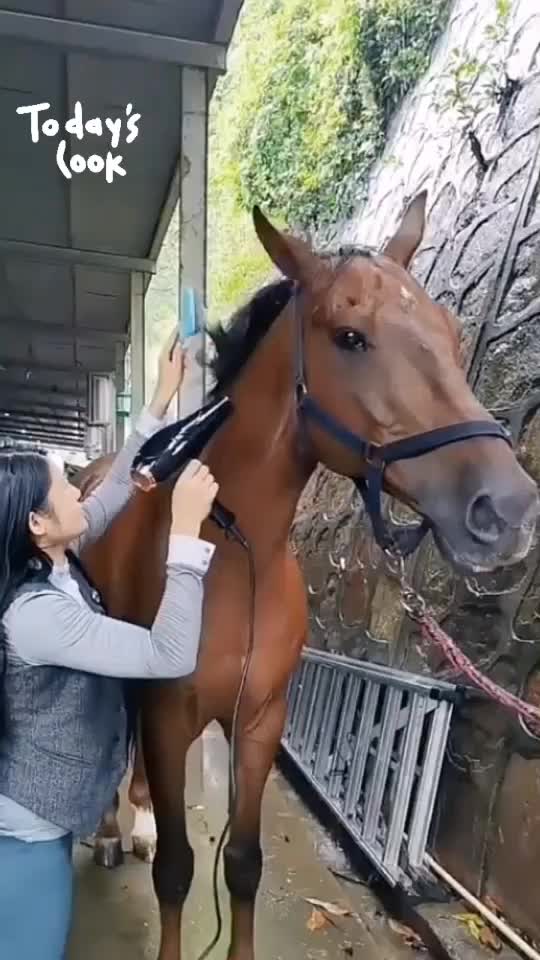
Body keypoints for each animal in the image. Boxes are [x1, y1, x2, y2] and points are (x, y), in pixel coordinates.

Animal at [76, 195, 539, 960]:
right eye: (350, 336)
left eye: (451, 332)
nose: (507, 510)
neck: (234, 551)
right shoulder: (171, 713)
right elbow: (178, 868)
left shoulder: (260, 721)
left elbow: (242, 864)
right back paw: (112, 831)